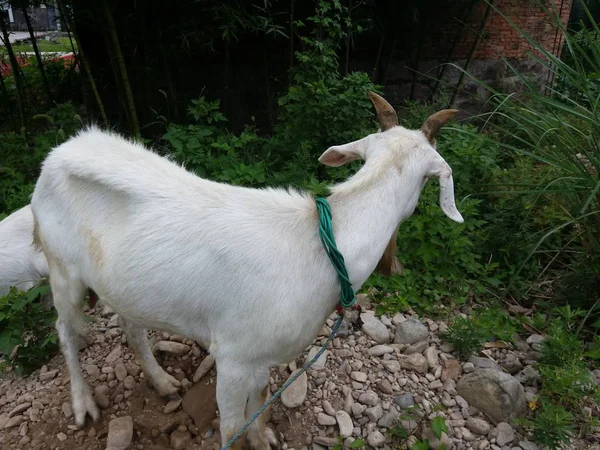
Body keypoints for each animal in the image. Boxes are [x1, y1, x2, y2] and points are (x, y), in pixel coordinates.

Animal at [30, 92, 462, 450]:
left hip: (122, 283)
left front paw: (263, 438)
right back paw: (83, 403)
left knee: (130, 325)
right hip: (61, 269)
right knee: (65, 329)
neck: (318, 246)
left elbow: (260, 406)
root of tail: (58, 153)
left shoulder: (261, 355)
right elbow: (230, 426)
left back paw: (163, 381)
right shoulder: (234, 356)